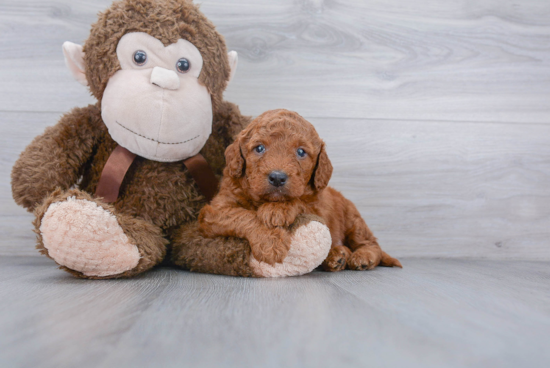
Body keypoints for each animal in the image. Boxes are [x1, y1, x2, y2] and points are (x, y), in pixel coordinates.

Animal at [198, 108, 402, 270]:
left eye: (301, 152)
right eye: (259, 148)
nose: (277, 177)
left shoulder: (318, 207)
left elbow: (300, 202)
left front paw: (278, 209)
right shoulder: (214, 211)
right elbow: (242, 215)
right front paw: (270, 242)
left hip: (354, 220)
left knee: (371, 244)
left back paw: (362, 257)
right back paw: (338, 255)